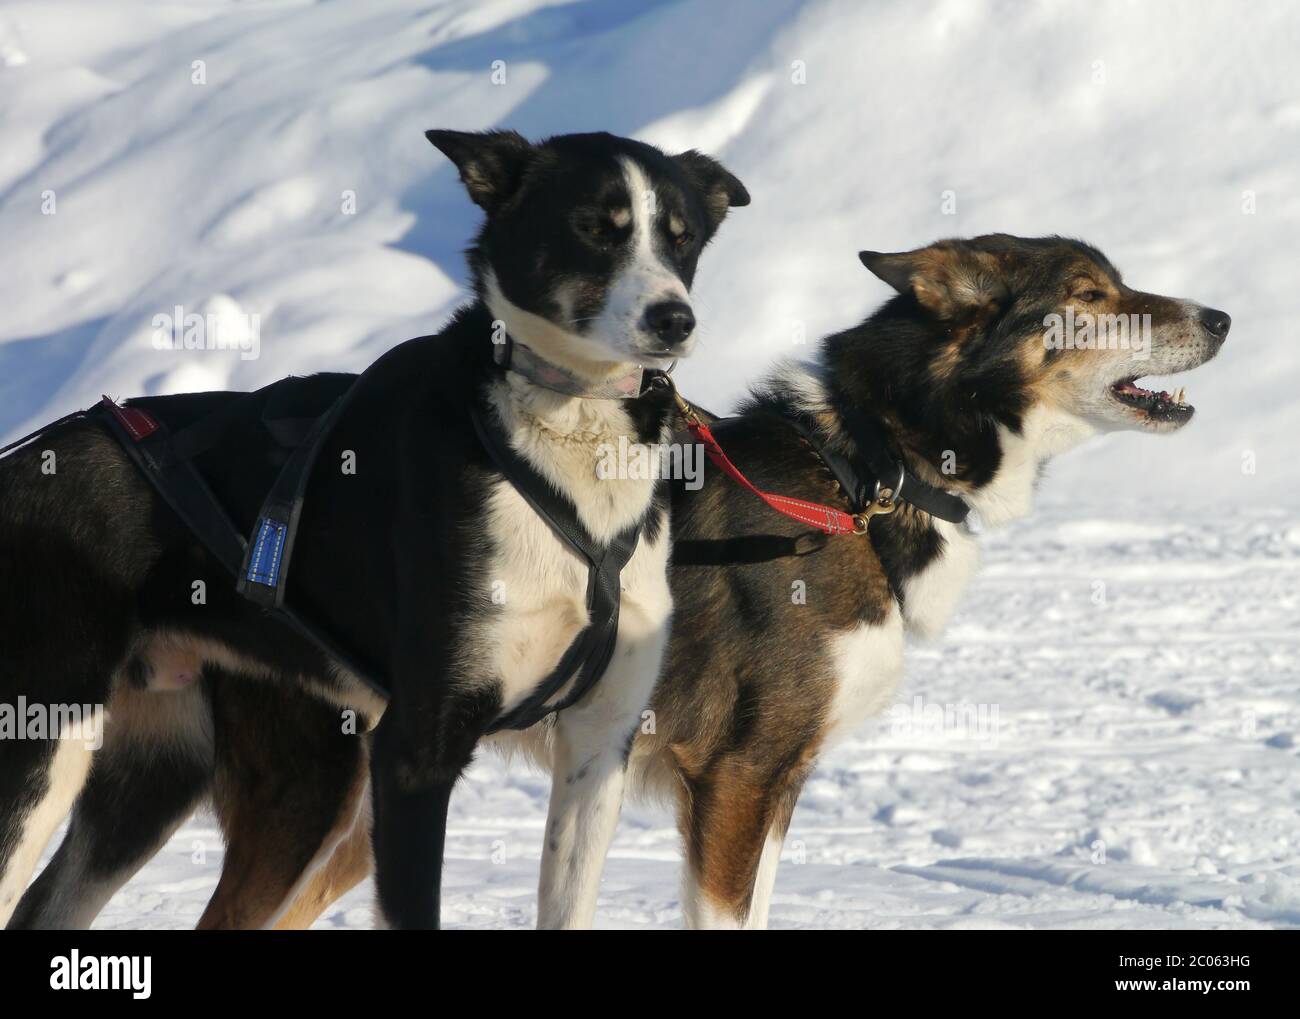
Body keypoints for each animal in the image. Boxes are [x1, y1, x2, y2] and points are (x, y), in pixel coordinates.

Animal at [0, 129, 748, 930]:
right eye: (594, 228)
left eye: (682, 238)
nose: (675, 319)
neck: (563, 440)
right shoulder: (416, 753)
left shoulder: (596, 748)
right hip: (48, 742)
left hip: (171, 776)